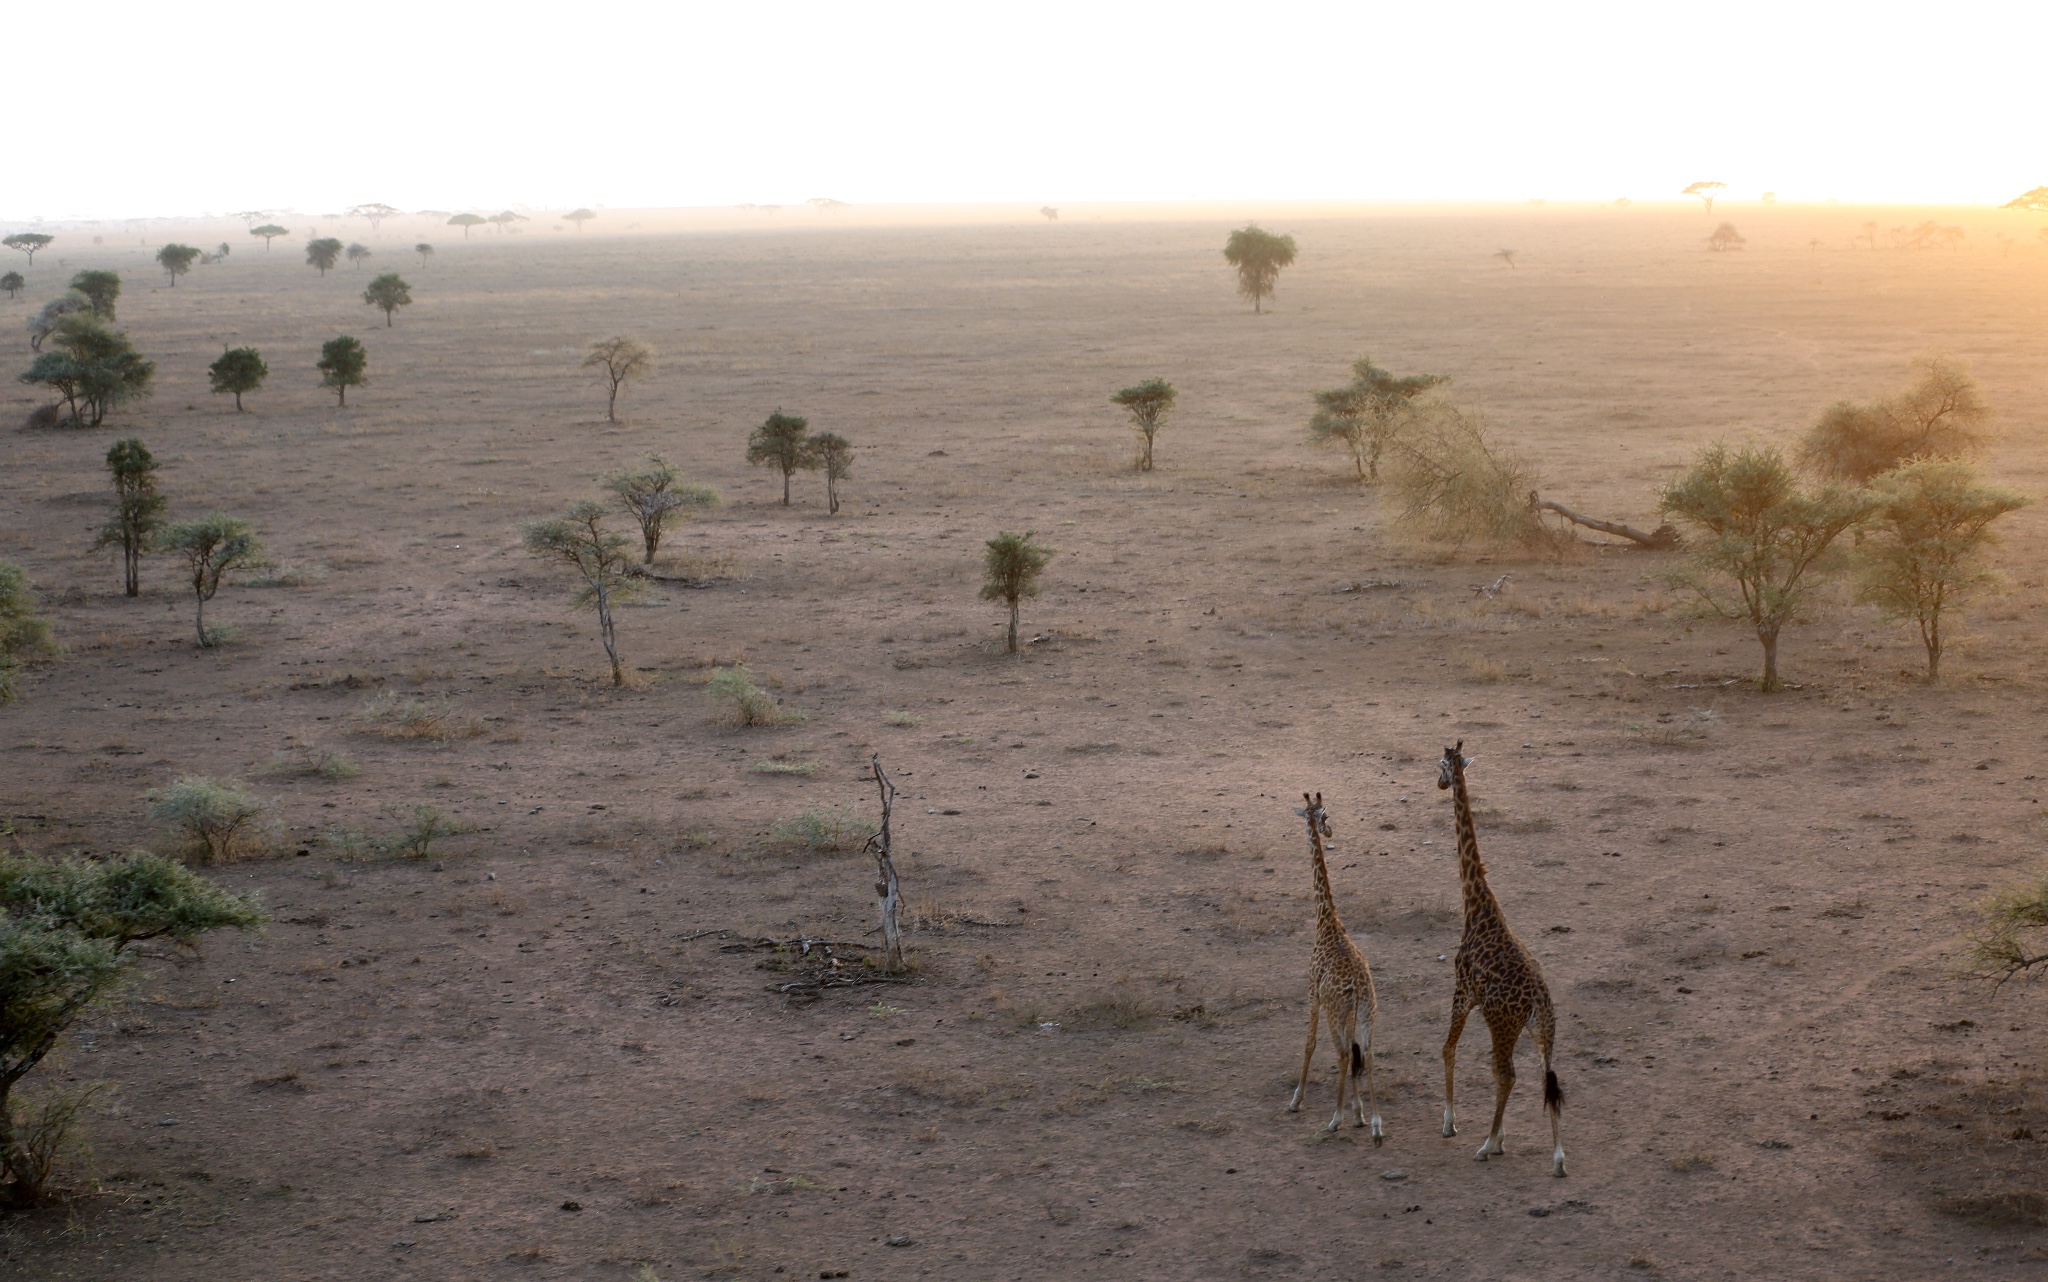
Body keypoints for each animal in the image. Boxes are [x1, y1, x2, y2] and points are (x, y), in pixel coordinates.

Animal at [1286, 790, 1384, 1138]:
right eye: (1325, 816)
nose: (1328, 831)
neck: (1326, 920)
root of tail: (1356, 987)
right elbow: (1356, 1055)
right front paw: (1358, 1113)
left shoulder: (1312, 993)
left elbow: (1309, 1044)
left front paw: (1296, 1100)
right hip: (1366, 1012)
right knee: (1366, 1054)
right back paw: (1375, 1125)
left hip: (1334, 1010)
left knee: (1342, 1052)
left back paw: (1335, 1119)